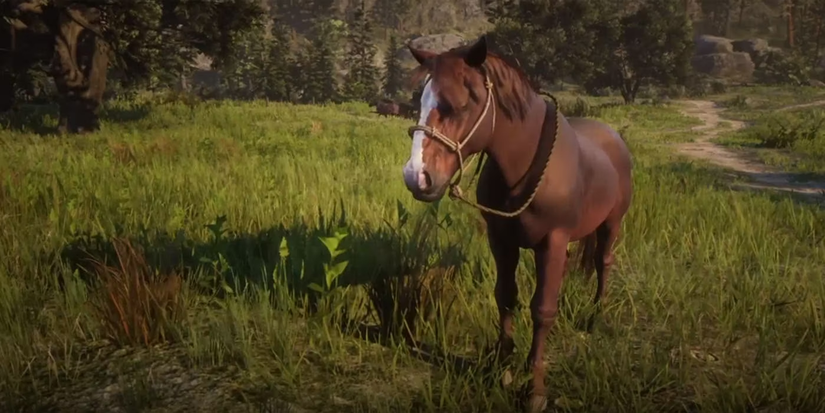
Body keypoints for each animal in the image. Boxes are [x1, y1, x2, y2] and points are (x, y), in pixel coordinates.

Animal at [400, 34, 633, 412]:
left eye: (460, 104)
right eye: (419, 102)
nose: (417, 177)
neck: (524, 168)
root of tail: (615, 138)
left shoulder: (552, 241)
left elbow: (542, 309)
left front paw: (535, 387)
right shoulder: (501, 240)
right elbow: (506, 297)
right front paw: (502, 365)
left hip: (610, 224)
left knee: (603, 262)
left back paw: (597, 314)